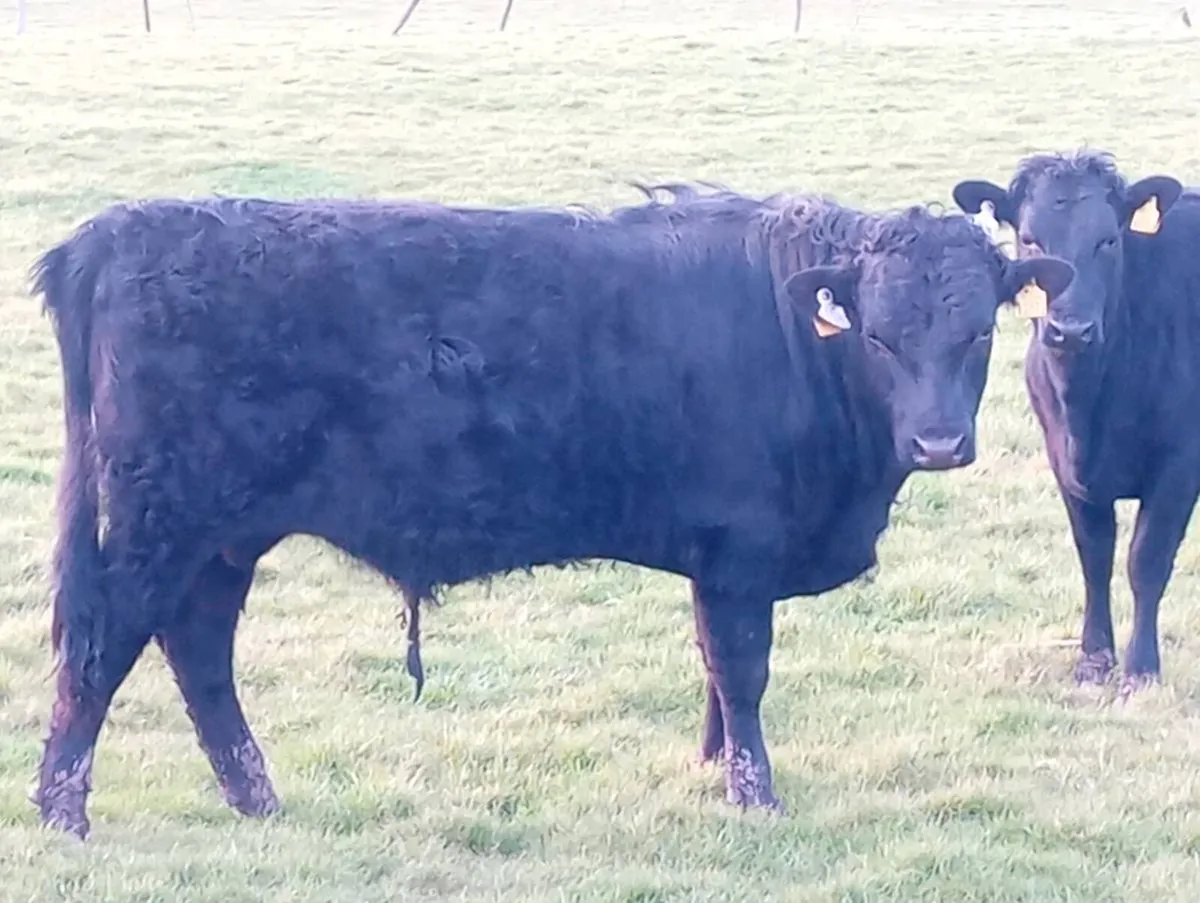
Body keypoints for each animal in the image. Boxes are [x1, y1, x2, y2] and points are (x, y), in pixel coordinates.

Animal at [28, 185, 1074, 839]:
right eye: (881, 335)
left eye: (977, 331)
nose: (938, 441)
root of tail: (115, 233)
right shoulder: (741, 550)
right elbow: (743, 671)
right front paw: (756, 795)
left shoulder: (722, 560)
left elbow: (714, 674)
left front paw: (713, 770)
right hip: (159, 522)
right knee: (103, 646)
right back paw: (63, 812)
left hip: (221, 536)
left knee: (198, 650)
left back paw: (257, 799)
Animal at [951, 149, 1198, 694]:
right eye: (1029, 239)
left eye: (1108, 239)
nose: (1070, 329)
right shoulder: (1065, 464)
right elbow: (1095, 557)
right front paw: (1093, 659)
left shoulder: (1179, 467)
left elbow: (1146, 560)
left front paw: (1140, 668)